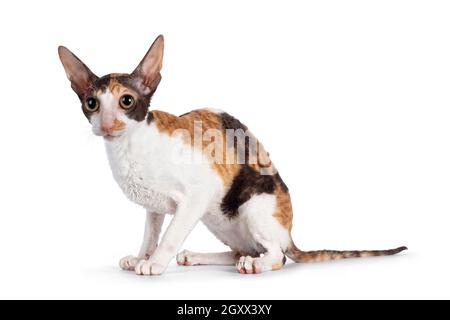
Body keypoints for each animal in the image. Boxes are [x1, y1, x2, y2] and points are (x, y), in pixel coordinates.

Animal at [58, 34, 406, 276]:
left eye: (127, 101)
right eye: (92, 104)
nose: (106, 125)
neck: (128, 149)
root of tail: (290, 235)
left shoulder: (199, 192)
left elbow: (170, 234)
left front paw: (154, 263)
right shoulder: (155, 206)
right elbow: (151, 233)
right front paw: (141, 256)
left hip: (251, 202)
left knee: (277, 255)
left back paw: (256, 264)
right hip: (217, 217)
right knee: (242, 249)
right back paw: (200, 256)